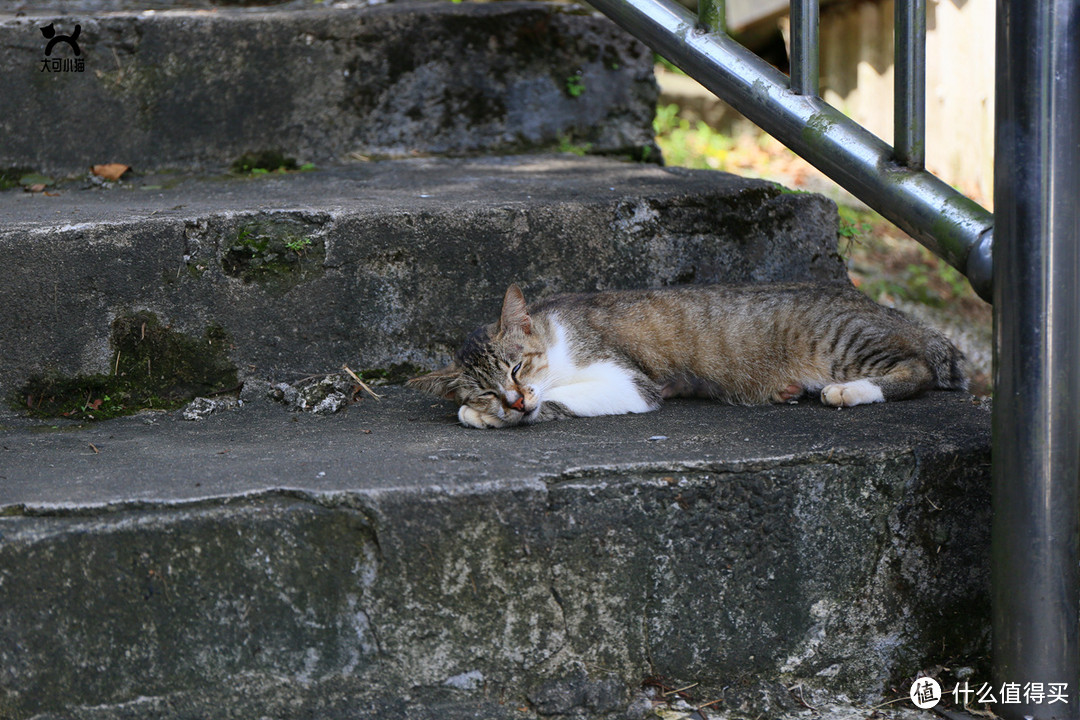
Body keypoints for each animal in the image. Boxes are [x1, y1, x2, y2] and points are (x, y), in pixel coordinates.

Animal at [406, 280, 972, 427]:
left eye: (518, 365)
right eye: (486, 387)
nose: (515, 399)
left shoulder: (630, 382)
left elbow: (561, 401)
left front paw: (503, 416)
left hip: (845, 340)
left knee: (917, 370)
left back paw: (850, 391)